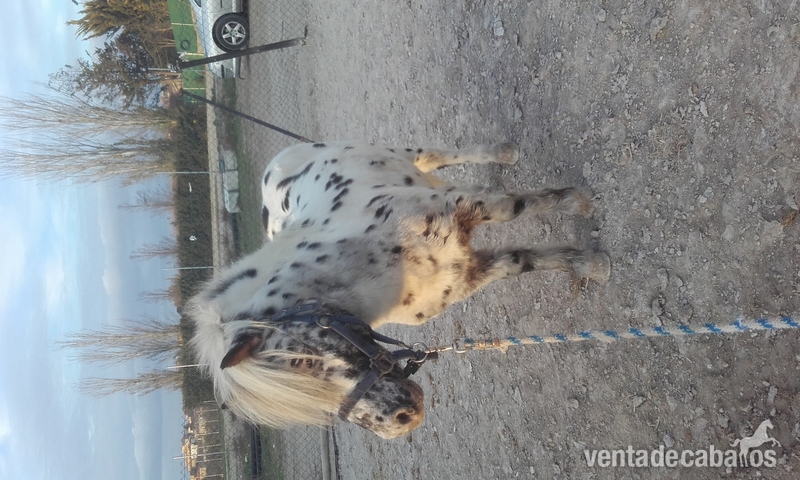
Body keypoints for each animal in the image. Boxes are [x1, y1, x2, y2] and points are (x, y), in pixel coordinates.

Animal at [188, 141, 610, 439]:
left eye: (304, 364)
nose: (400, 421)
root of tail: (272, 171)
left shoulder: (461, 204)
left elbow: (518, 206)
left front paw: (579, 208)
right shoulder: (464, 273)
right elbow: (523, 260)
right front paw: (587, 263)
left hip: (402, 154)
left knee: (440, 154)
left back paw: (504, 153)